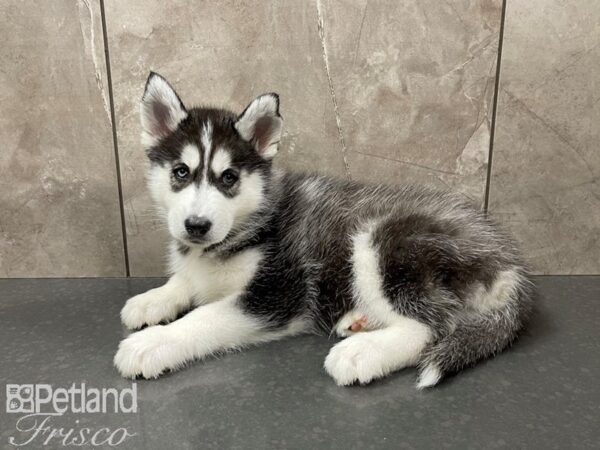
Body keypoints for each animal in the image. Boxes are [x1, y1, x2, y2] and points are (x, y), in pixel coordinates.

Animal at [113, 72, 536, 388]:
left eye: (229, 177)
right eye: (181, 172)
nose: (197, 226)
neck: (248, 227)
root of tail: (507, 259)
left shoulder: (277, 293)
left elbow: (203, 317)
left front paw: (153, 342)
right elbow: (185, 282)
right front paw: (151, 300)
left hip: (382, 241)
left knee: (430, 327)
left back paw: (362, 353)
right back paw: (360, 321)